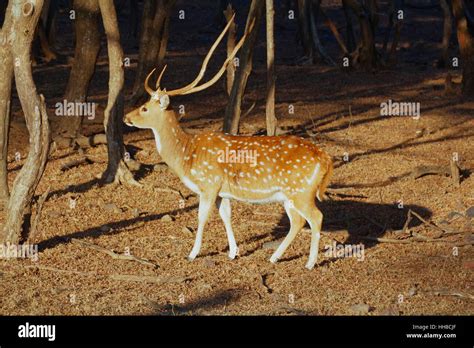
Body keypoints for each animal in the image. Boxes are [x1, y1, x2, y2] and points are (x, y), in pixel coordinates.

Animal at [126, 16, 334, 270]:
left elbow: (202, 217)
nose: (126, 117)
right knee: (297, 221)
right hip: (290, 195)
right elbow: (226, 215)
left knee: (316, 217)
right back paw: (274, 257)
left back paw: (310, 263)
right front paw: (233, 252)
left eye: (145, 107)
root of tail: (326, 158)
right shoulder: (222, 191)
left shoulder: (209, 184)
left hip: (301, 191)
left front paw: (192, 254)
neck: (186, 156)